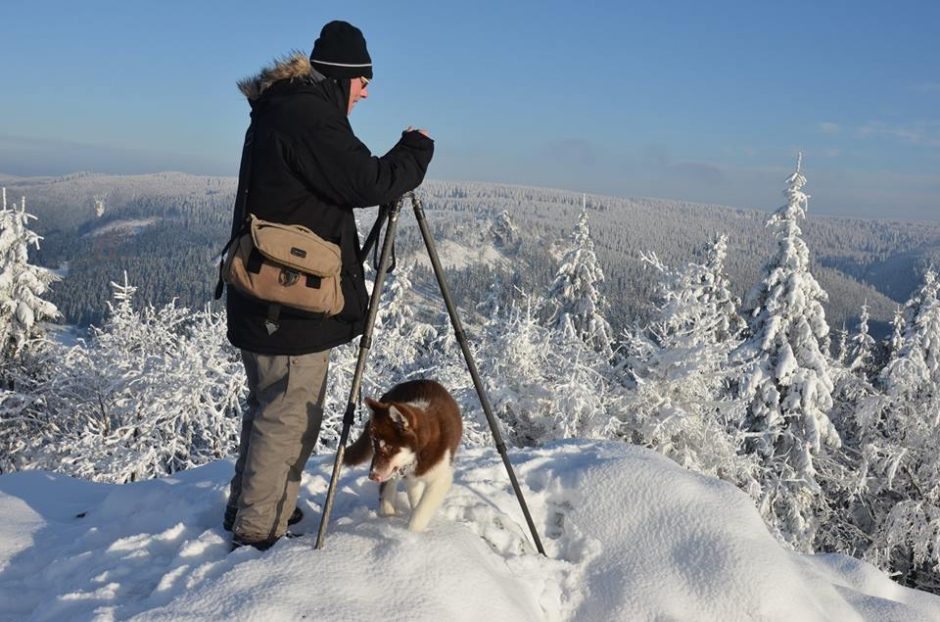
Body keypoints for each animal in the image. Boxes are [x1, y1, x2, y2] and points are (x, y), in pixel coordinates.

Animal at [346, 378, 462, 532]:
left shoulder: (441, 478)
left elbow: (421, 509)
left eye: (389, 447)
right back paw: (388, 512)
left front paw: (412, 532)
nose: (372, 476)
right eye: (374, 445)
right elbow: (415, 499)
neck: (421, 450)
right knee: (388, 487)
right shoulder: (410, 476)